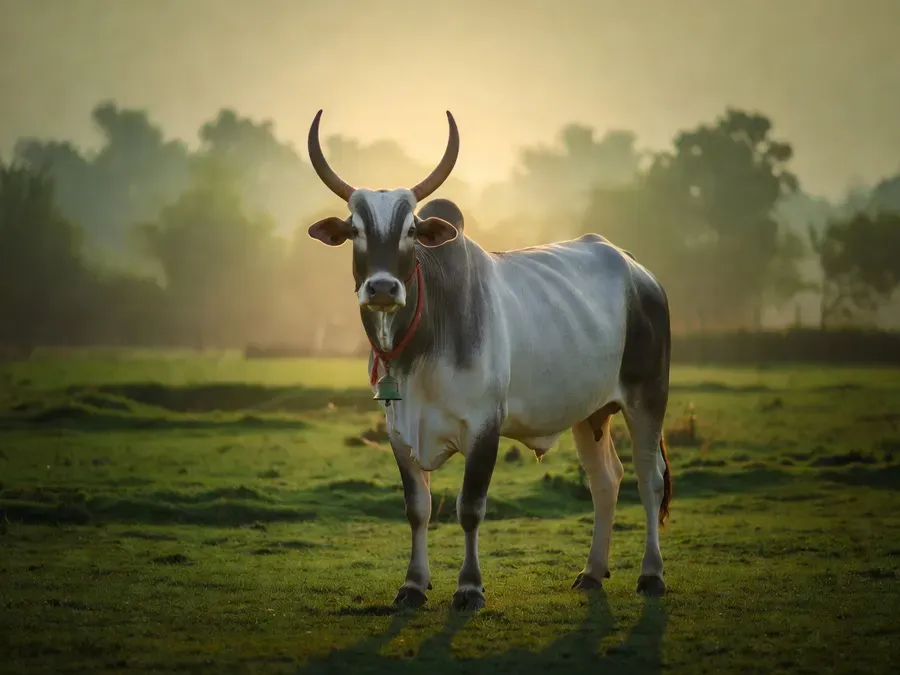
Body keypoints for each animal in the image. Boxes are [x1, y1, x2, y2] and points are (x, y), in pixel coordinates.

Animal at [306, 110, 672, 611]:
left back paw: (651, 574)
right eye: (355, 231)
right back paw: (593, 572)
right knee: (606, 481)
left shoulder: (485, 426)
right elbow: (417, 508)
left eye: (410, 231)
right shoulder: (397, 429)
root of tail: (638, 270)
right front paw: (413, 584)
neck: (422, 345)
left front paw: (469, 586)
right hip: (589, 412)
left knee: (649, 478)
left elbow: (470, 507)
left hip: (647, 397)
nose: (382, 288)